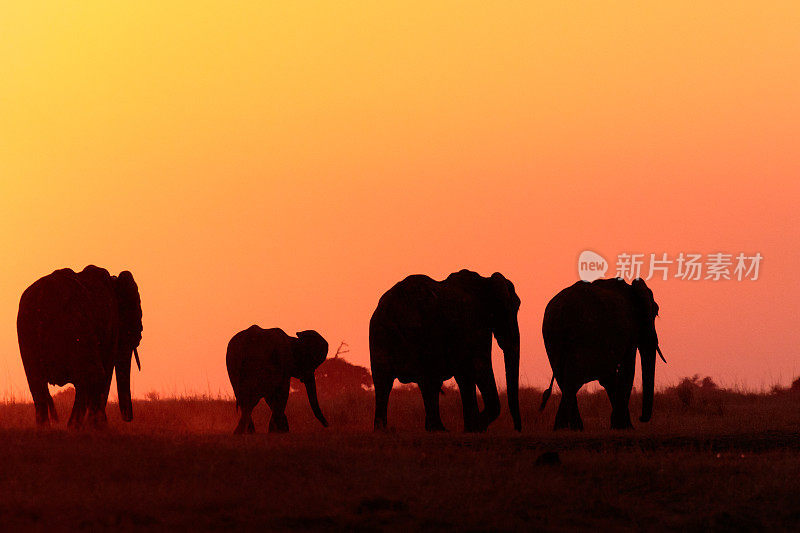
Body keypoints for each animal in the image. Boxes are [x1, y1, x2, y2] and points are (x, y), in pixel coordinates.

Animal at [18, 266, 144, 428]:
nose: (128, 419)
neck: (114, 281)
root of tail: (43, 295)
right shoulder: (112, 325)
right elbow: (107, 369)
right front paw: (99, 426)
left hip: (26, 330)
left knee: (36, 381)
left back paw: (48, 428)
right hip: (77, 324)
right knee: (92, 374)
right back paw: (76, 427)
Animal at [370, 270, 520, 432]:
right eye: (513, 309)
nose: (517, 429)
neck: (485, 281)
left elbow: (465, 375)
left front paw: (471, 428)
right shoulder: (475, 324)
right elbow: (478, 366)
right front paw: (477, 426)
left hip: (380, 335)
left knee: (383, 382)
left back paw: (382, 429)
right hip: (420, 335)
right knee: (428, 380)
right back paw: (438, 429)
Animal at [540, 276, 664, 430]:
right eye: (656, 312)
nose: (641, 418)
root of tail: (561, 312)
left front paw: (619, 425)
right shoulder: (630, 332)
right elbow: (627, 370)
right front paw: (624, 427)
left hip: (552, 340)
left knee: (565, 378)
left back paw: (562, 428)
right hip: (586, 335)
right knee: (575, 377)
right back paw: (577, 428)